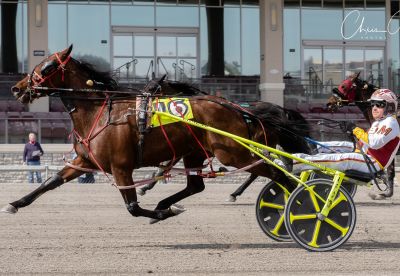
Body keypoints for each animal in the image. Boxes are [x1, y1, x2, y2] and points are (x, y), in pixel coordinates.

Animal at [1, 44, 310, 222]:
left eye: (48, 66)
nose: (17, 88)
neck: (98, 111)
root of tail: (241, 111)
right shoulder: (84, 161)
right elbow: (50, 182)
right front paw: (15, 203)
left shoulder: (121, 167)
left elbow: (133, 207)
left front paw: (161, 211)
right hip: (197, 152)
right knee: (197, 185)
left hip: (233, 152)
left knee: (276, 173)